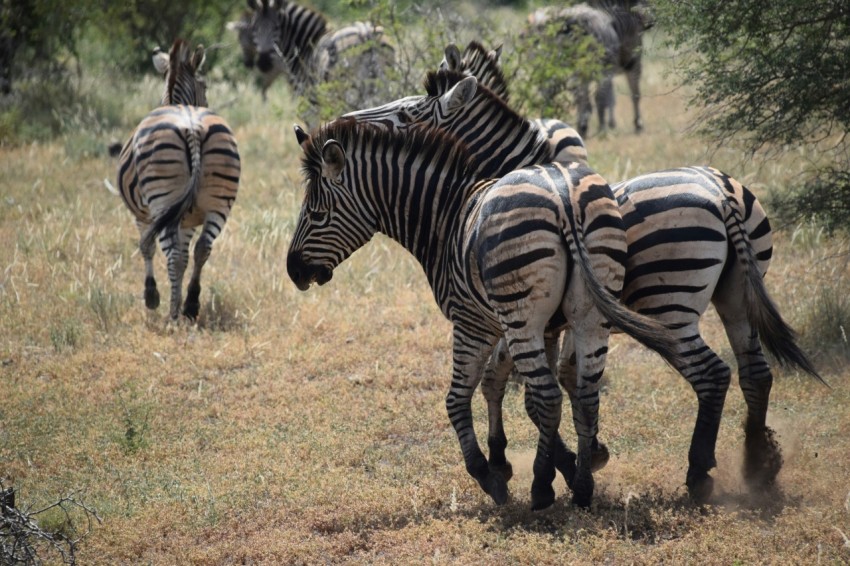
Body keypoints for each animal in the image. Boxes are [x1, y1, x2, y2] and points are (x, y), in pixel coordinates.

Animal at [114, 38, 240, 324]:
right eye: (205, 86)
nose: (208, 100)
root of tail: (191, 126)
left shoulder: (144, 216)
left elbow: (147, 247)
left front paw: (151, 296)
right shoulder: (189, 218)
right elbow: (185, 254)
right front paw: (181, 299)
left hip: (161, 199)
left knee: (170, 254)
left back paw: (172, 314)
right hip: (220, 201)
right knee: (202, 248)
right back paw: (191, 305)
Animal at [229, 0, 394, 123]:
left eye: (277, 27)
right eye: (254, 28)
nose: (263, 63)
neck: (304, 47)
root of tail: (365, 33)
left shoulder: (309, 107)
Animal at [288, 120, 680, 510]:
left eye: (316, 215)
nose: (293, 271)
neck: (444, 218)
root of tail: (564, 195)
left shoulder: (472, 322)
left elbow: (459, 398)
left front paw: (489, 473)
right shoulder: (543, 328)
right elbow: (509, 389)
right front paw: (556, 462)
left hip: (522, 315)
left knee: (550, 396)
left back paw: (541, 488)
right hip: (589, 315)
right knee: (586, 393)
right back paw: (583, 488)